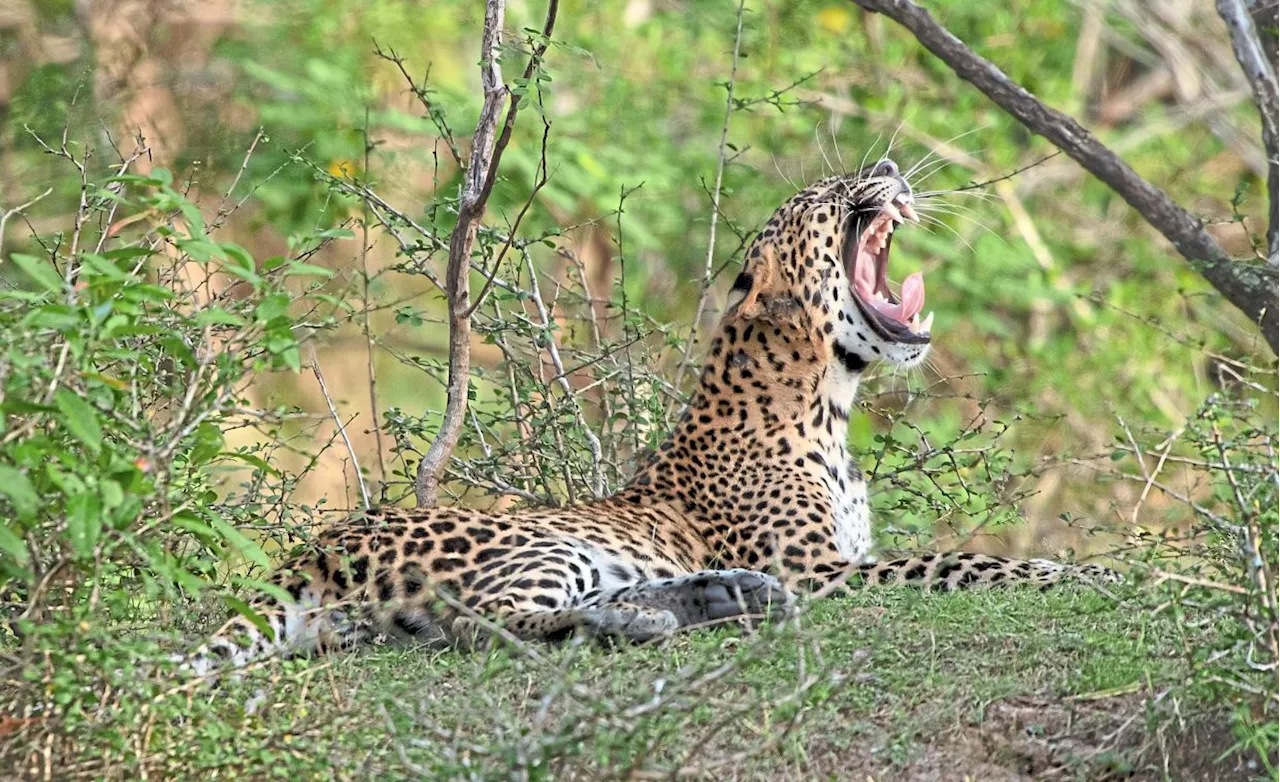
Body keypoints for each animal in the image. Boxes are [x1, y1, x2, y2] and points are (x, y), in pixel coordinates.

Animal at [183, 160, 1121, 680]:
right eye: (825, 196)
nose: (888, 160)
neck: (829, 404)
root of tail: (318, 548)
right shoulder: (821, 569)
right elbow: (960, 562)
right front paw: (1078, 574)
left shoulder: (831, 561)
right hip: (538, 545)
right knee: (483, 624)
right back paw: (653, 617)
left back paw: (708, 598)